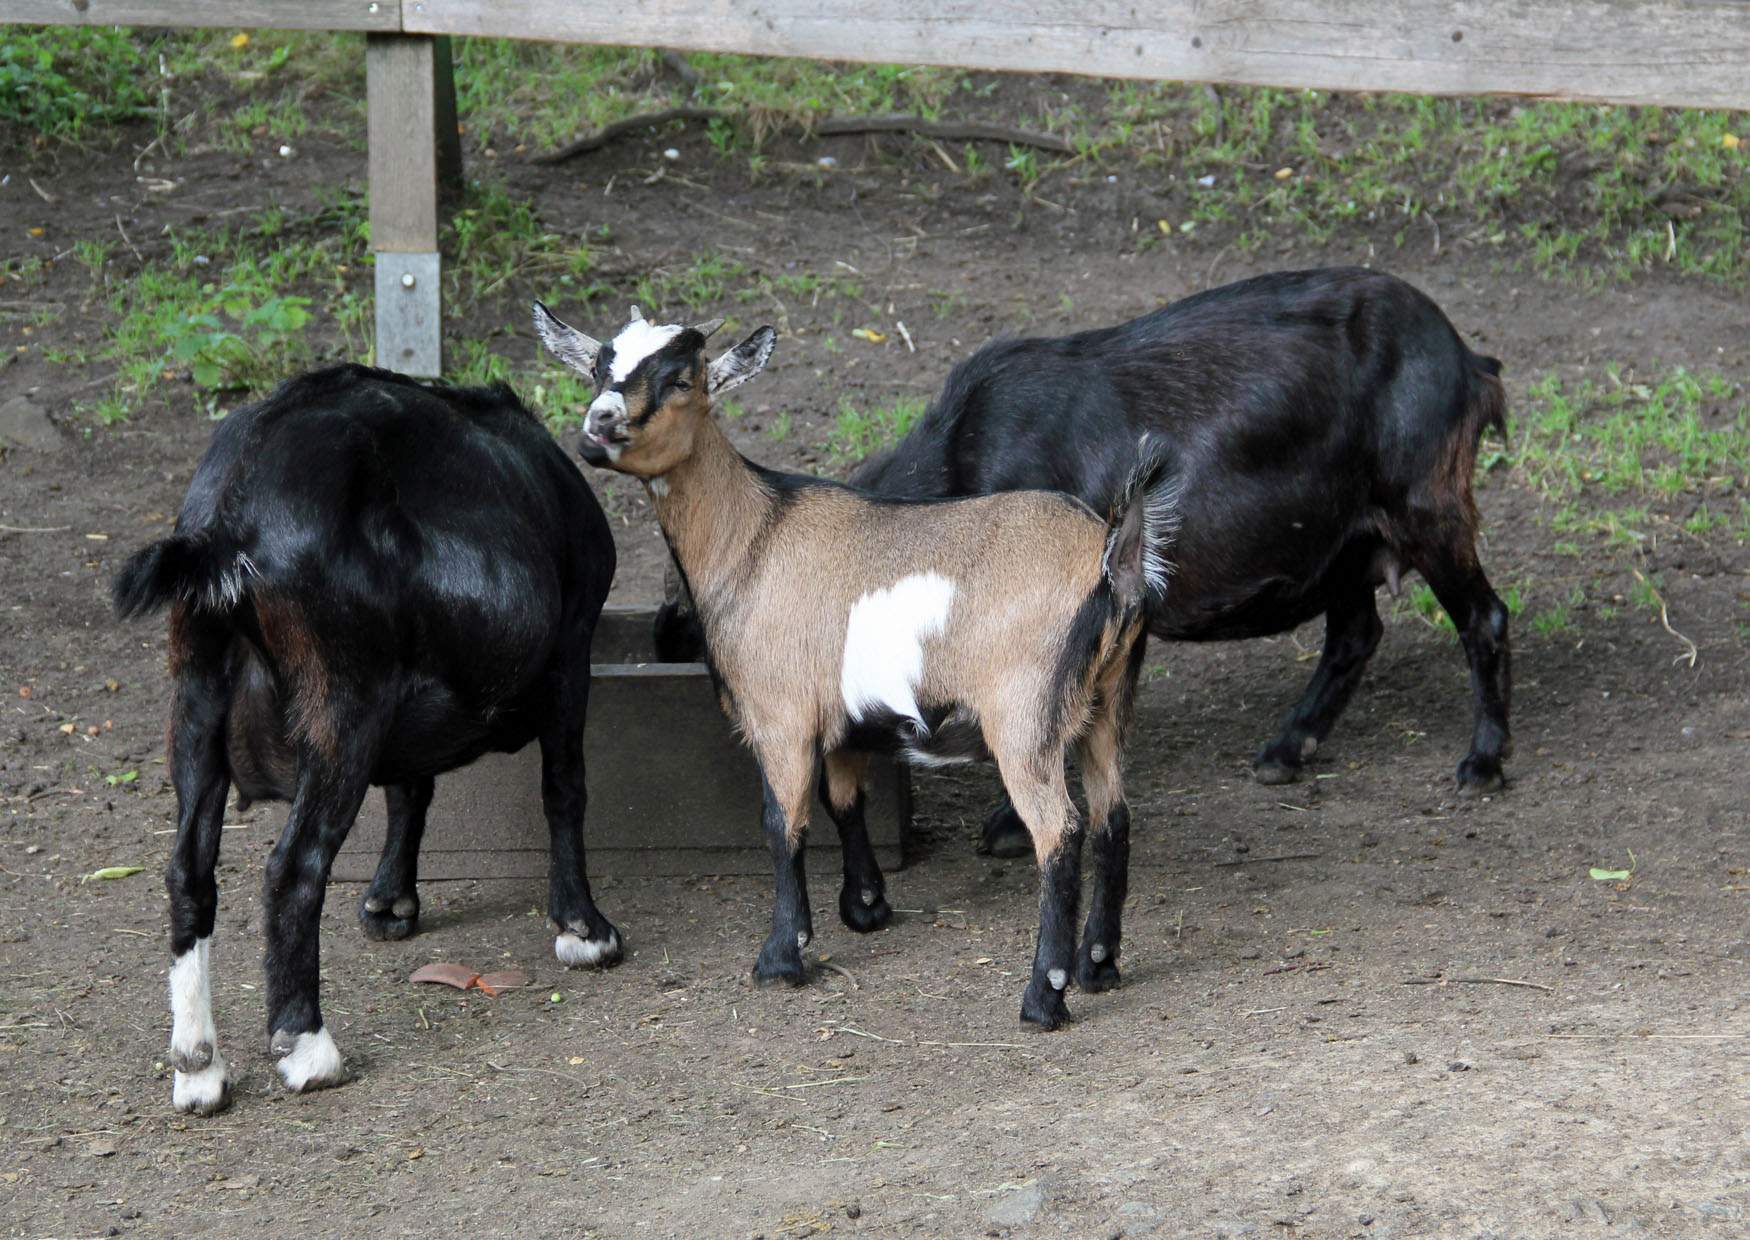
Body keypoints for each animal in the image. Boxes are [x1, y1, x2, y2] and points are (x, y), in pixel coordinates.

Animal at [112, 365, 619, 1112]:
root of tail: (227, 521)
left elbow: (411, 788)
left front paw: (389, 902)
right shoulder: (570, 651)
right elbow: (564, 788)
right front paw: (585, 930)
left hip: (197, 694)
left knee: (188, 870)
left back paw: (199, 1068)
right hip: (343, 700)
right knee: (293, 867)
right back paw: (308, 1050)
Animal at [532, 302, 1176, 1028]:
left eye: (681, 380)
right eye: (598, 368)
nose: (597, 425)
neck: (752, 538)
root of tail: (1114, 557)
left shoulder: (780, 716)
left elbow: (783, 821)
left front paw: (782, 957)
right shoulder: (837, 719)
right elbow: (844, 800)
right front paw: (865, 907)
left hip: (1025, 716)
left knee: (1059, 833)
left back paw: (1044, 996)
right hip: (1107, 703)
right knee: (1111, 818)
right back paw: (1100, 967)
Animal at [658, 267, 1505, 856]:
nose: (668, 635)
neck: (964, 458)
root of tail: (1467, 360)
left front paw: (1006, 826)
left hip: (1426, 505)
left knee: (1483, 617)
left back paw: (1483, 762)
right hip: (1342, 541)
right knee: (1355, 633)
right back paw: (1285, 751)